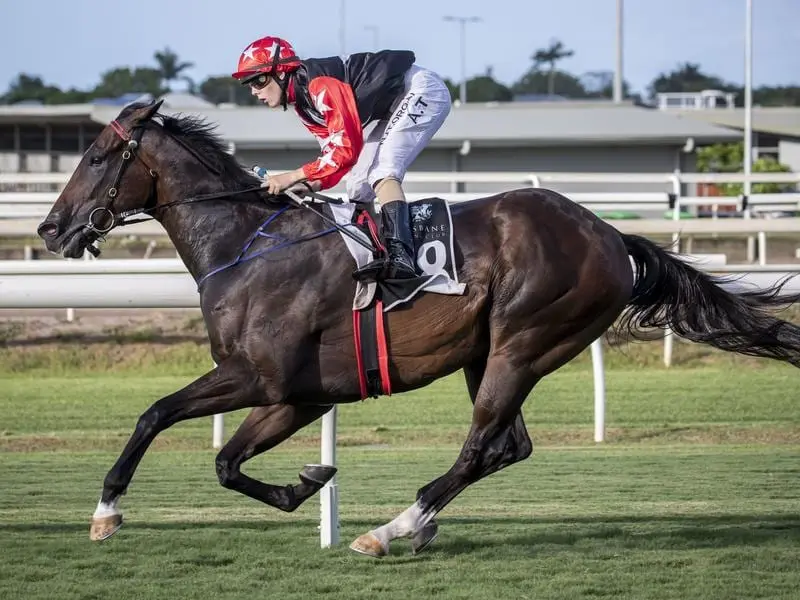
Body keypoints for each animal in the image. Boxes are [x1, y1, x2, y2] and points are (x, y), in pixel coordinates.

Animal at [37, 102, 800, 556]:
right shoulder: (298, 396)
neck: (247, 243)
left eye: (98, 157)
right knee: (507, 448)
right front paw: (307, 482)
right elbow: (223, 459)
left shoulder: (262, 378)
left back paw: (392, 527)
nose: (50, 229)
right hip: (487, 352)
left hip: (525, 342)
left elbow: (155, 413)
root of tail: (611, 234)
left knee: (481, 447)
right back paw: (418, 523)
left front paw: (106, 509)